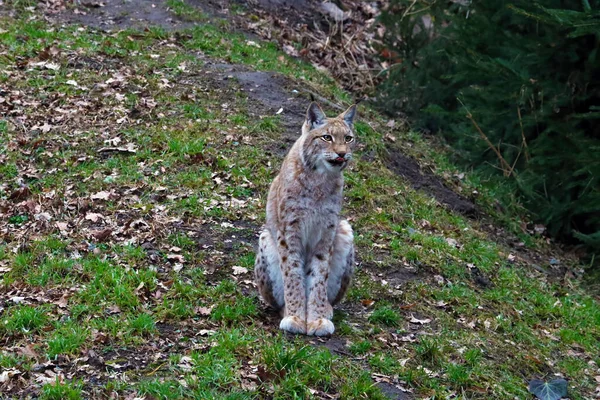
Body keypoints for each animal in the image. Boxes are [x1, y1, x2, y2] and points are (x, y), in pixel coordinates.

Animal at [254, 101, 356, 336]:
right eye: (327, 137)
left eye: (348, 138)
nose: (342, 154)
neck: (319, 177)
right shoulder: (289, 231)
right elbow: (293, 273)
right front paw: (296, 317)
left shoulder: (327, 231)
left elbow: (319, 276)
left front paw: (317, 318)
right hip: (265, 237)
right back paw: (286, 309)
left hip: (345, 229)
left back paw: (326, 308)